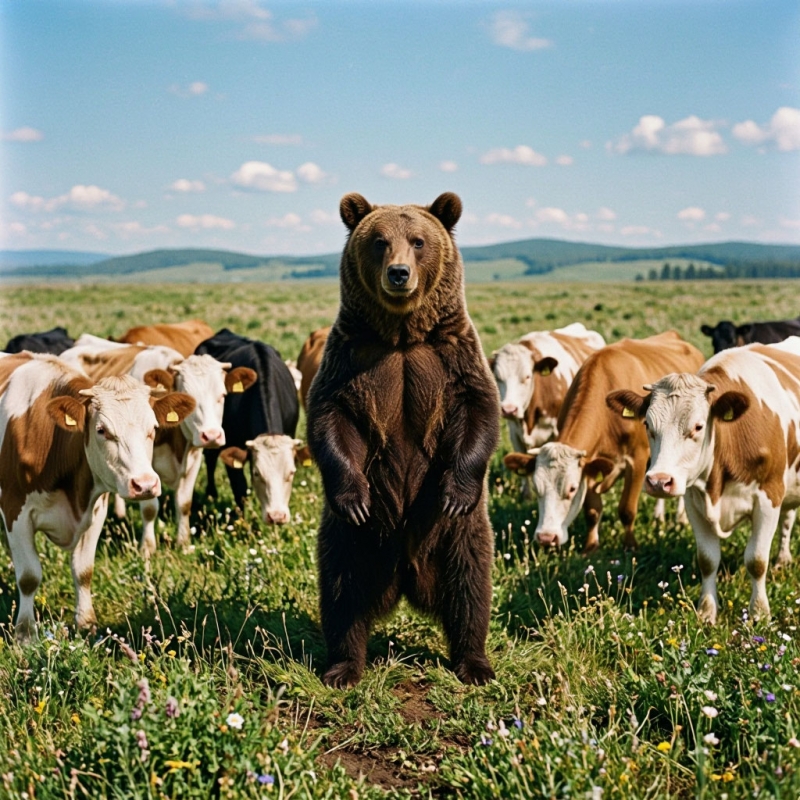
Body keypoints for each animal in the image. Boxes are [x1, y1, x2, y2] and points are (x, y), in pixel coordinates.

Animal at [306, 192, 500, 688]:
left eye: (418, 241)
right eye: (379, 241)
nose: (398, 273)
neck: (401, 334)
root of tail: (406, 575)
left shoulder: (454, 354)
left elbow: (480, 411)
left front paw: (456, 491)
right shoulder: (349, 356)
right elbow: (329, 418)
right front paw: (354, 497)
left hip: (456, 535)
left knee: (470, 587)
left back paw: (474, 663)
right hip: (353, 541)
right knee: (343, 592)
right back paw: (342, 666)